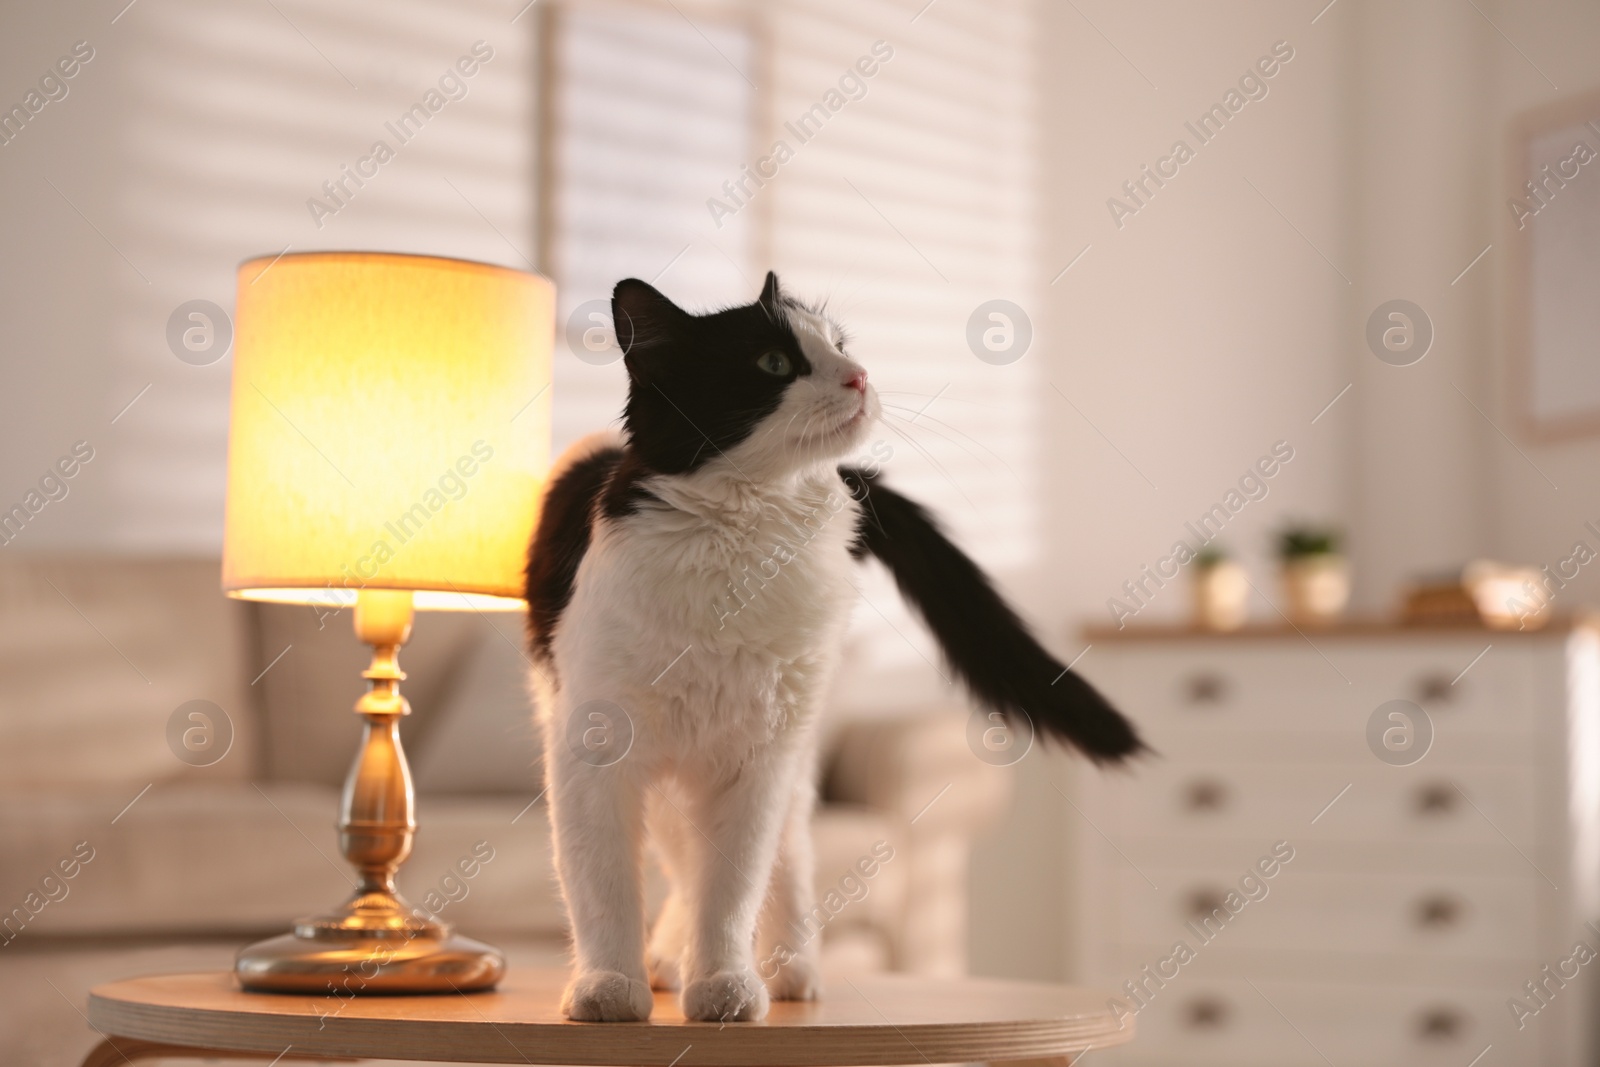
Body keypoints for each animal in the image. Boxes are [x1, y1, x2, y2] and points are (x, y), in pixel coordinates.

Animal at [524, 271, 1139, 1023]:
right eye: (774, 363)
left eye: (841, 346)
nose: (860, 376)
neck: (744, 537)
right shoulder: (594, 753)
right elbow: (604, 884)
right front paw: (611, 983)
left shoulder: (756, 763)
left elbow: (729, 888)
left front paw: (723, 983)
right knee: (680, 860)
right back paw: (668, 961)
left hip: (785, 756)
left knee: (777, 863)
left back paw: (783, 971)